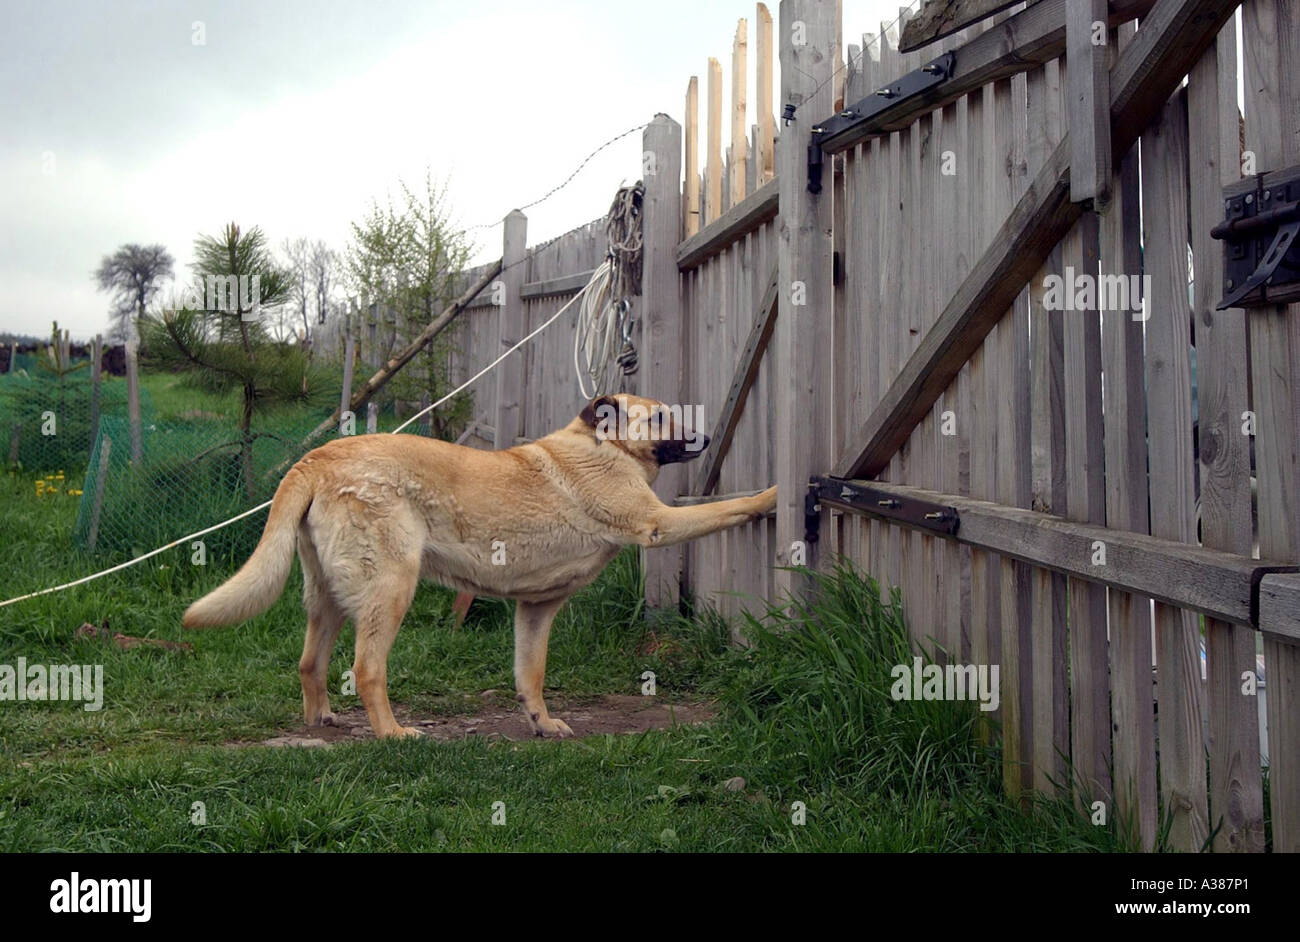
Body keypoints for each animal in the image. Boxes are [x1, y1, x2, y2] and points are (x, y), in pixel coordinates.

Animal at [182, 392, 769, 738]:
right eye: (663, 417)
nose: (708, 437)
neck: (606, 447)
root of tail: (317, 457)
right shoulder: (658, 522)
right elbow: (723, 508)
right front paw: (771, 497)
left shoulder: (536, 609)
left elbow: (530, 675)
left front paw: (541, 722)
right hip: (391, 591)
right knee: (367, 670)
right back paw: (392, 734)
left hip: (329, 598)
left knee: (310, 663)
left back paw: (321, 720)